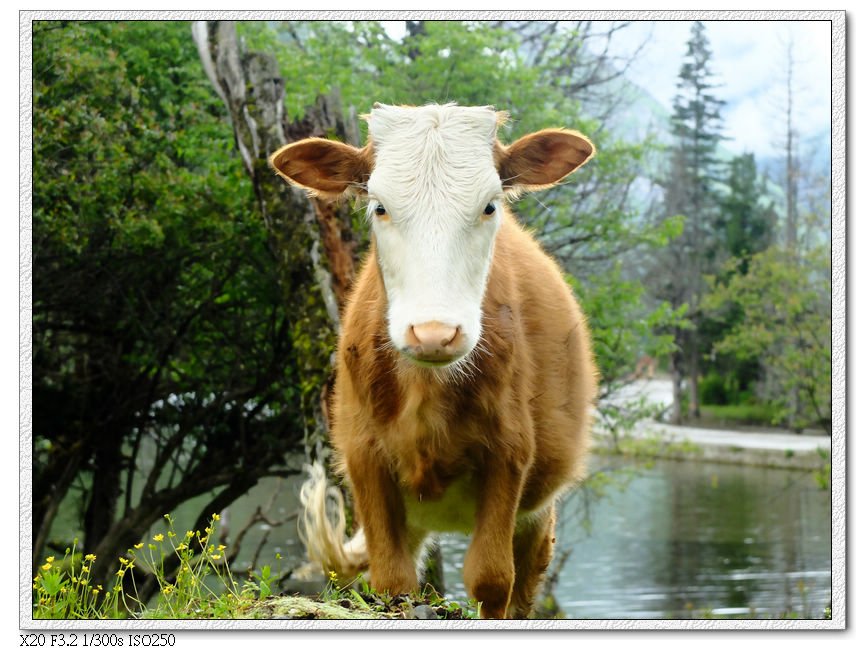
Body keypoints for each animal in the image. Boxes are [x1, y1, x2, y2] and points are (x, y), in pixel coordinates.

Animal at [266, 102, 596, 616]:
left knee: (526, 578)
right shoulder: (364, 456)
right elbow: (391, 580)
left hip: (538, 509)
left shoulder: (510, 452)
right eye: (379, 206)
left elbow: (491, 579)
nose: (434, 333)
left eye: (490, 205)